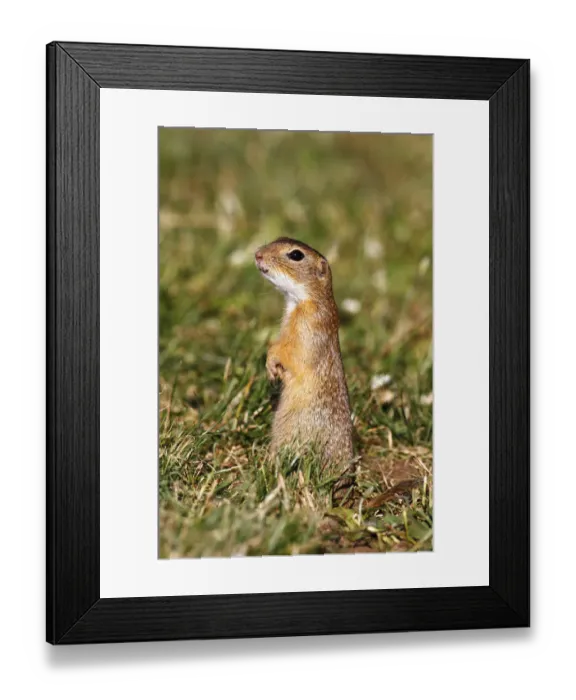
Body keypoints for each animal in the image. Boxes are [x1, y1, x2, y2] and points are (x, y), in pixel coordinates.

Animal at [255, 237, 354, 468]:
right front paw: (272, 371)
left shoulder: (308, 327)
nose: (257, 254)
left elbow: (290, 351)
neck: (300, 301)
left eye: (296, 255)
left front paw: (273, 365)